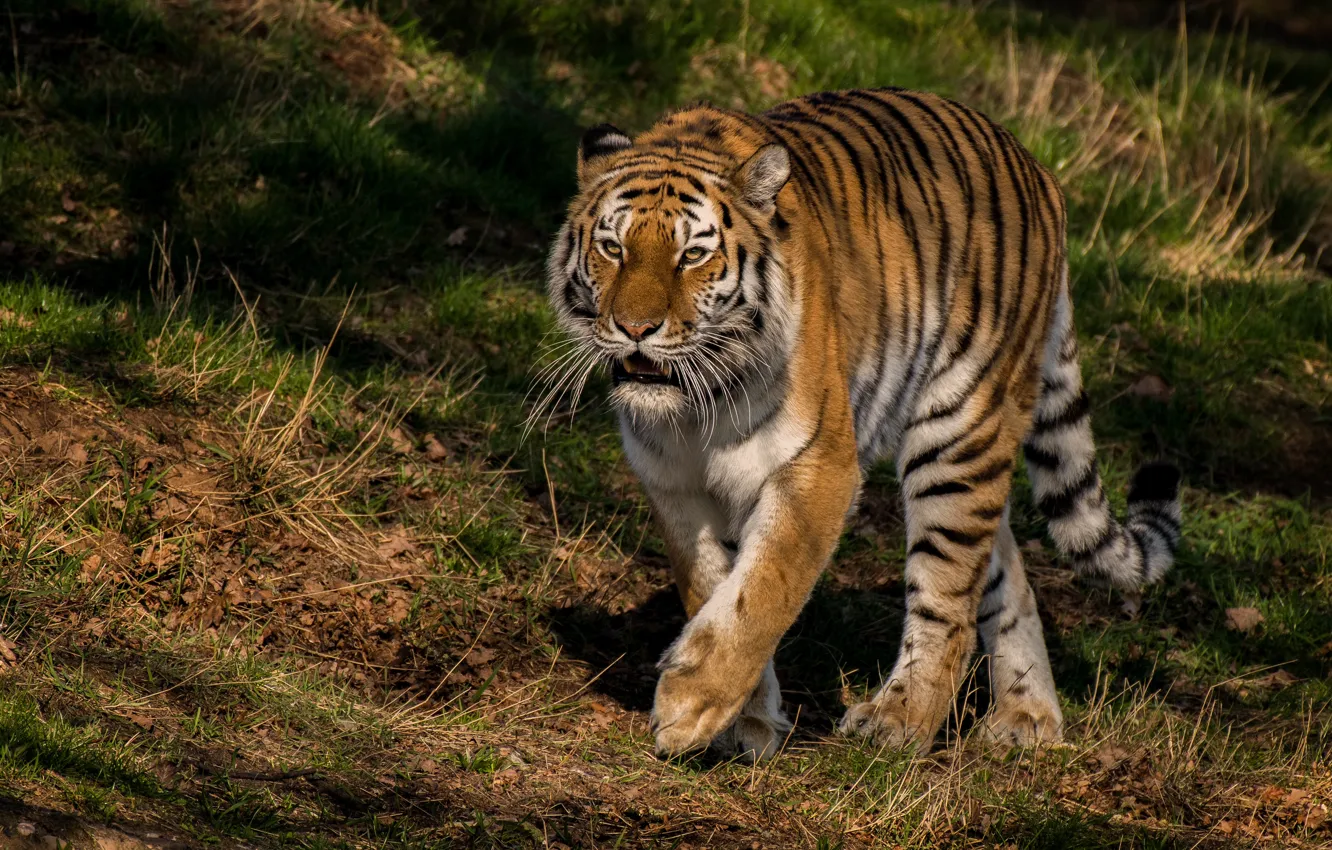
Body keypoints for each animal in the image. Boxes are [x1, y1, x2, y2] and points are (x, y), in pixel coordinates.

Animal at [541, 87, 1182, 761]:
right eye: (613, 248)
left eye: (693, 254)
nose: (636, 329)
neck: (694, 405)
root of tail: (1039, 171)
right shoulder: (674, 485)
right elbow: (711, 588)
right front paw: (746, 722)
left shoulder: (818, 468)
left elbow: (762, 591)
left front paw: (690, 706)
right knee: (1006, 575)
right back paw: (1027, 717)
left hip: (958, 434)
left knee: (948, 600)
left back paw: (899, 721)